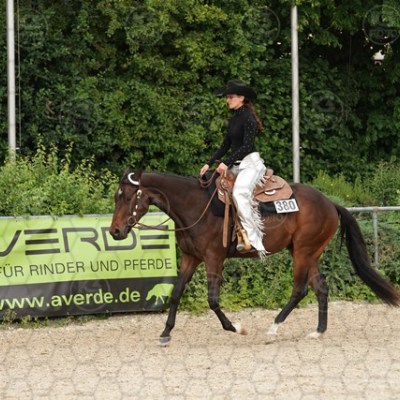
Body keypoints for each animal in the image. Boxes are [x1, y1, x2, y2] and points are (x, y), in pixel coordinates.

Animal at [109, 167, 399, 345]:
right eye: (116, 196)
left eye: (127, 196)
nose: (114, 231)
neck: (195, 207)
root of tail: (331, 204)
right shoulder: (191, 258)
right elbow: (176, 293)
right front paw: (166, 333)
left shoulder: (214, 259)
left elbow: (212, 300)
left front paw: (237, 328)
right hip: (308, 253)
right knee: (321, 288)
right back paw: (317, 332)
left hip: (303, 252)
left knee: (300, 290)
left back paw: (273, 328)